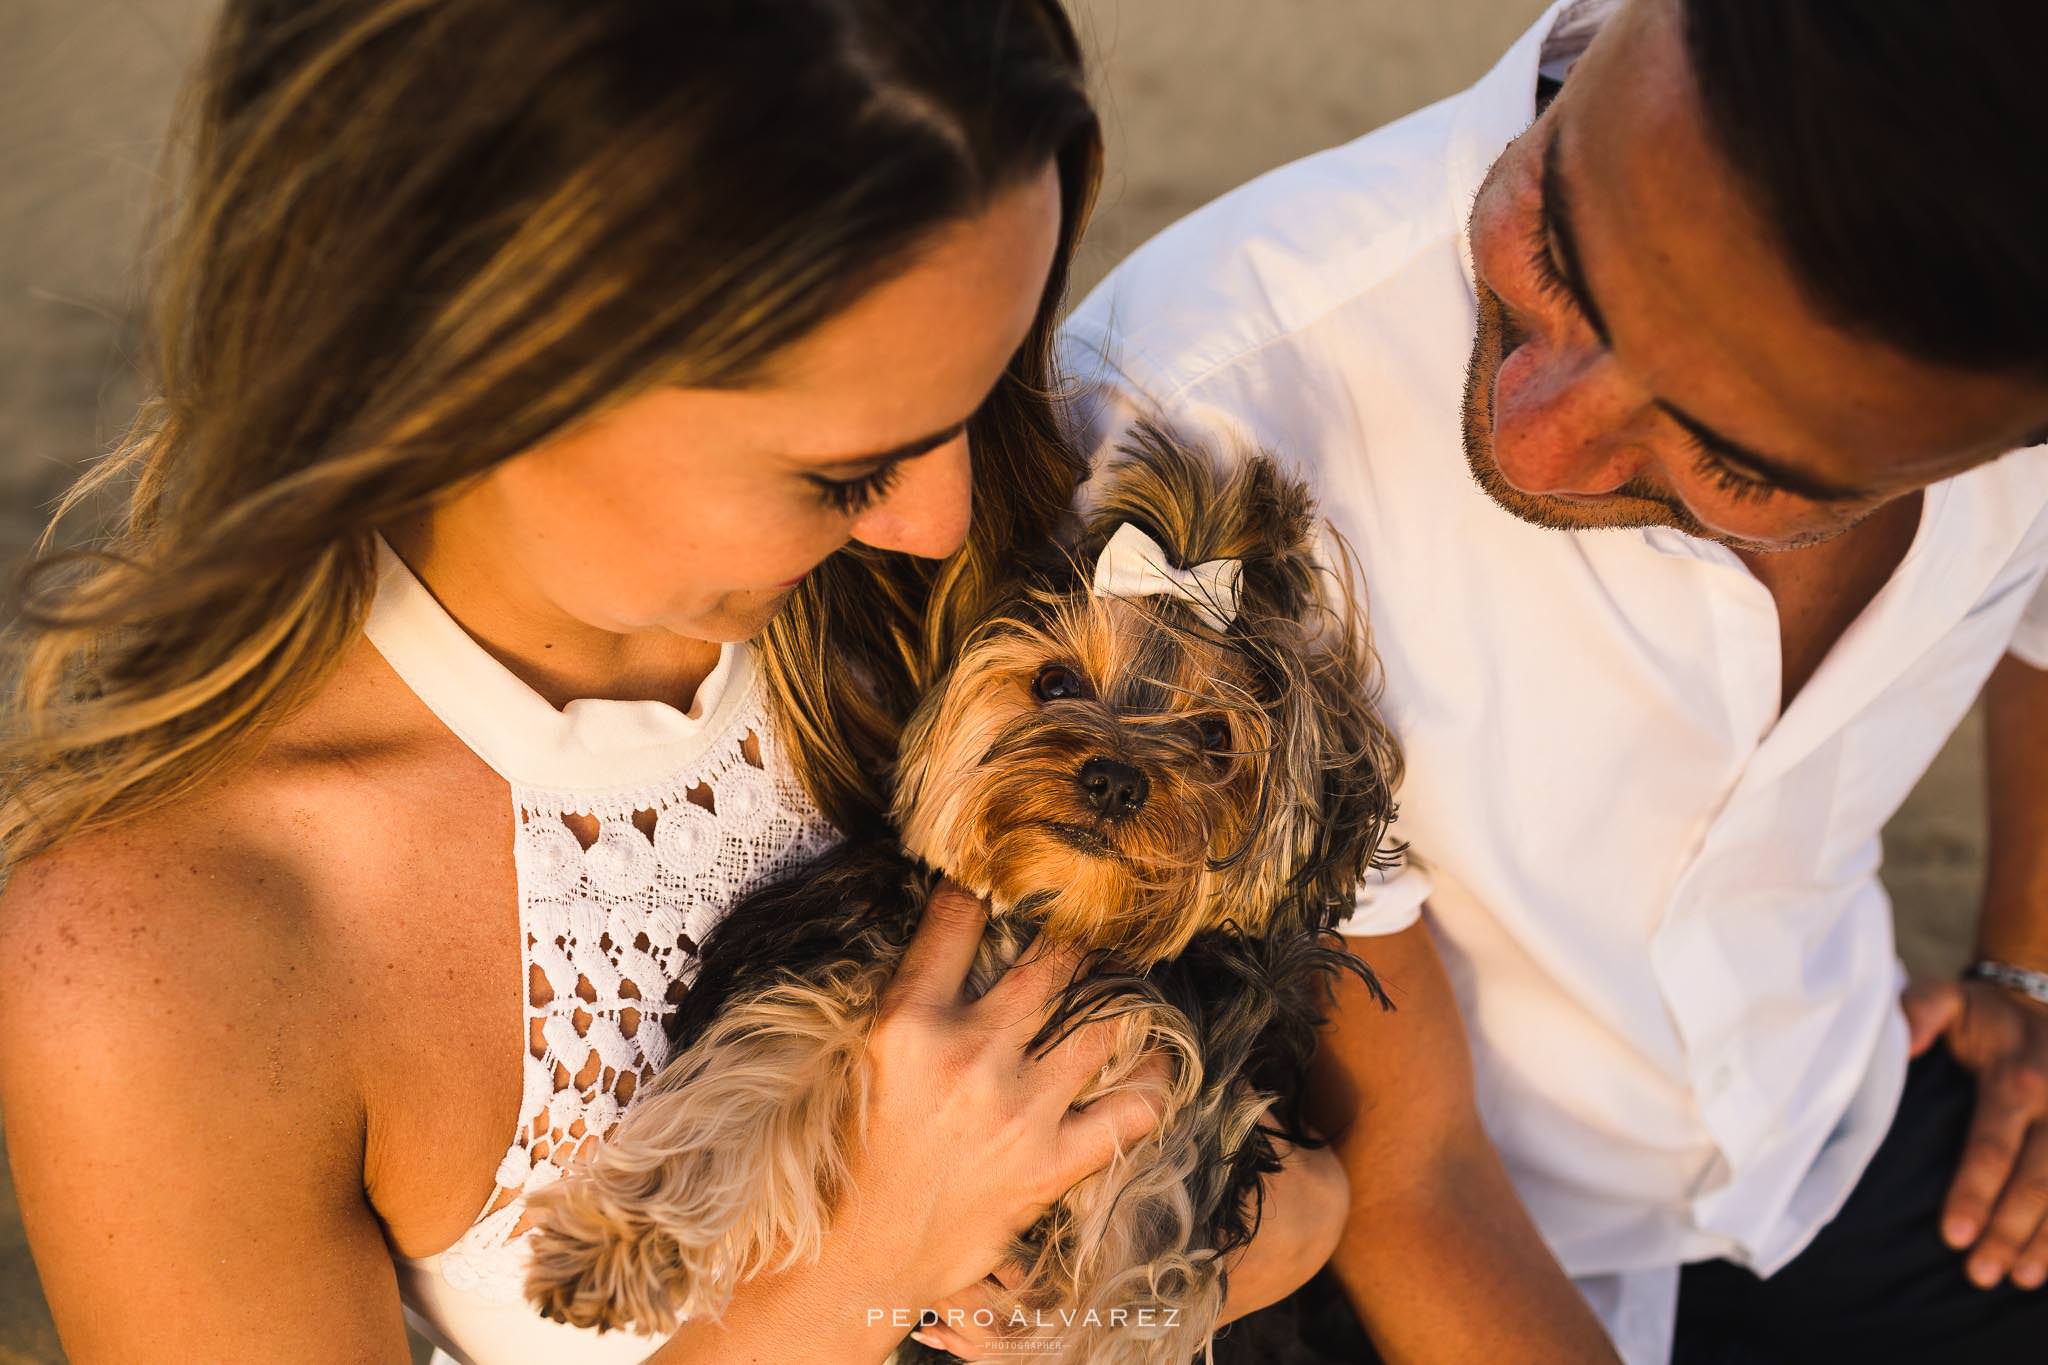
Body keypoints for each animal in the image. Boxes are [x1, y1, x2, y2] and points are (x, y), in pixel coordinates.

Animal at [524, 429, 1409, 1365]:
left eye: (1215, 735)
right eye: (1055, 682)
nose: (1115, 779)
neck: (1046, 918)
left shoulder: (1175, 1156)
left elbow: (1122, 1299)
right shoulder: (859, 963)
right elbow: (758, 1067)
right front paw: (621, 1240)